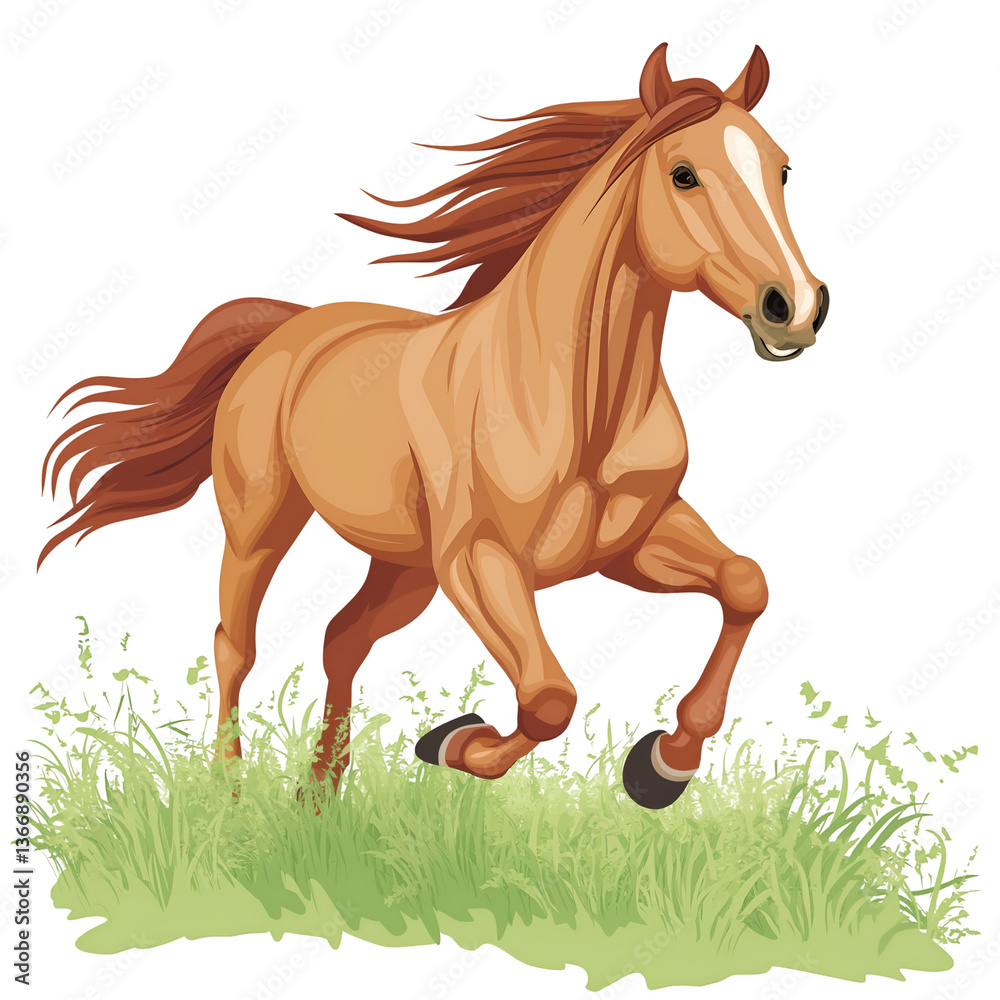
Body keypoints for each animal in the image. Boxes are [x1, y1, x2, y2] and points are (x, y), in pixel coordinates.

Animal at [40, 43, 828, 809]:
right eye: (683, 174)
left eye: (783, 168)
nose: (795, 306)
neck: (575, 399)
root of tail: (289, 329)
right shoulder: (479, 560)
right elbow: (549, 698)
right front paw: (452, 741)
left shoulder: (634, 542)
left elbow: (746, 585)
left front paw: (664, 765)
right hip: (262, 523)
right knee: (236, 643)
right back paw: (231, 797)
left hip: (404, 567)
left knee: (342, 638)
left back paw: (318, 797)